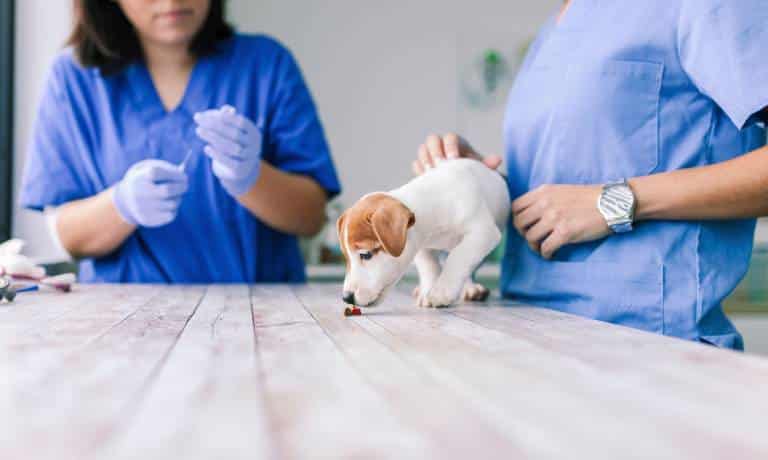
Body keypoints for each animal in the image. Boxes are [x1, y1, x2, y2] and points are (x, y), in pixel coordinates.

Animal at [336, 159, 510, 310]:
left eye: (365, 255)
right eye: (346, 258)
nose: (346, 298)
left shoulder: (482, 233)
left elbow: (458, 257)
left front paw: (441, 291)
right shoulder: (421, 246)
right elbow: (430, 266)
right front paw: (428, 290)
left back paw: (470, 287)